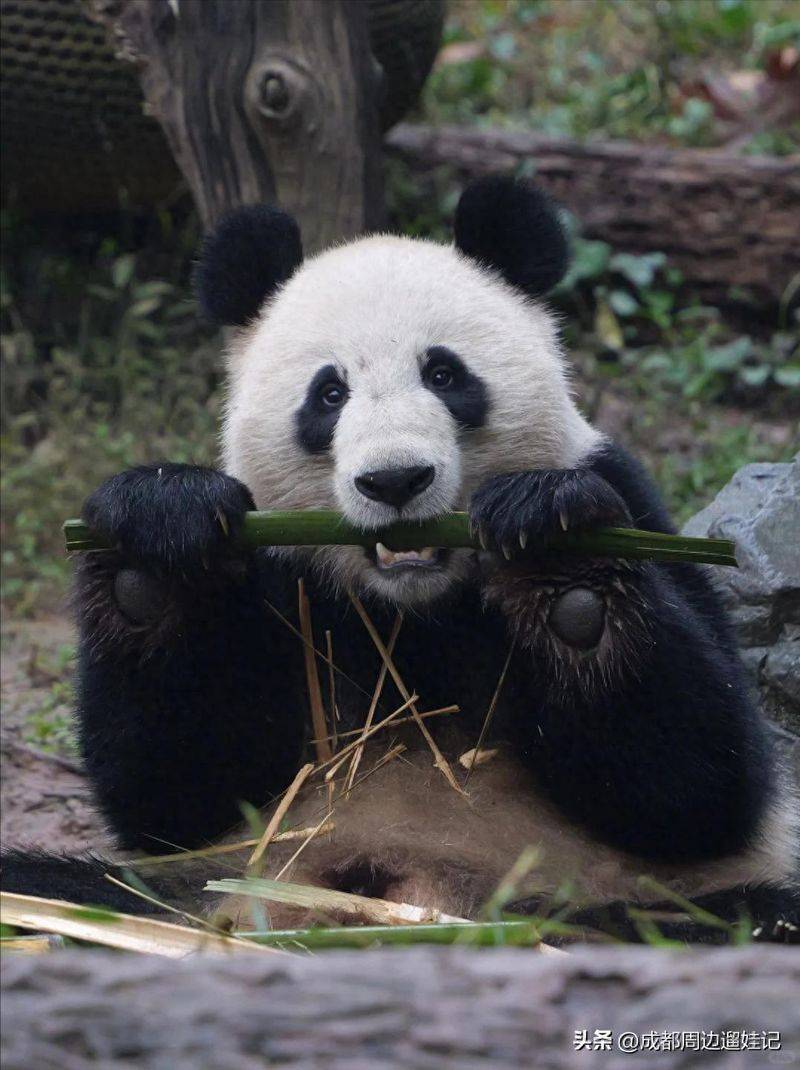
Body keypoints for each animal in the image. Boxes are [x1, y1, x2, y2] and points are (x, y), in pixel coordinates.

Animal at [3, 176, 799, 943]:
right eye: (329, 393)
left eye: (443, 375)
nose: (395, 481)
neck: (415, 609)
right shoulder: (281, 574)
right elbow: (172, 791)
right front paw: (156, 544)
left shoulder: (626, 494)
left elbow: (701, 789)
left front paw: (561, 562)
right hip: (206, 894)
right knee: (58, 892)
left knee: (743, 918)